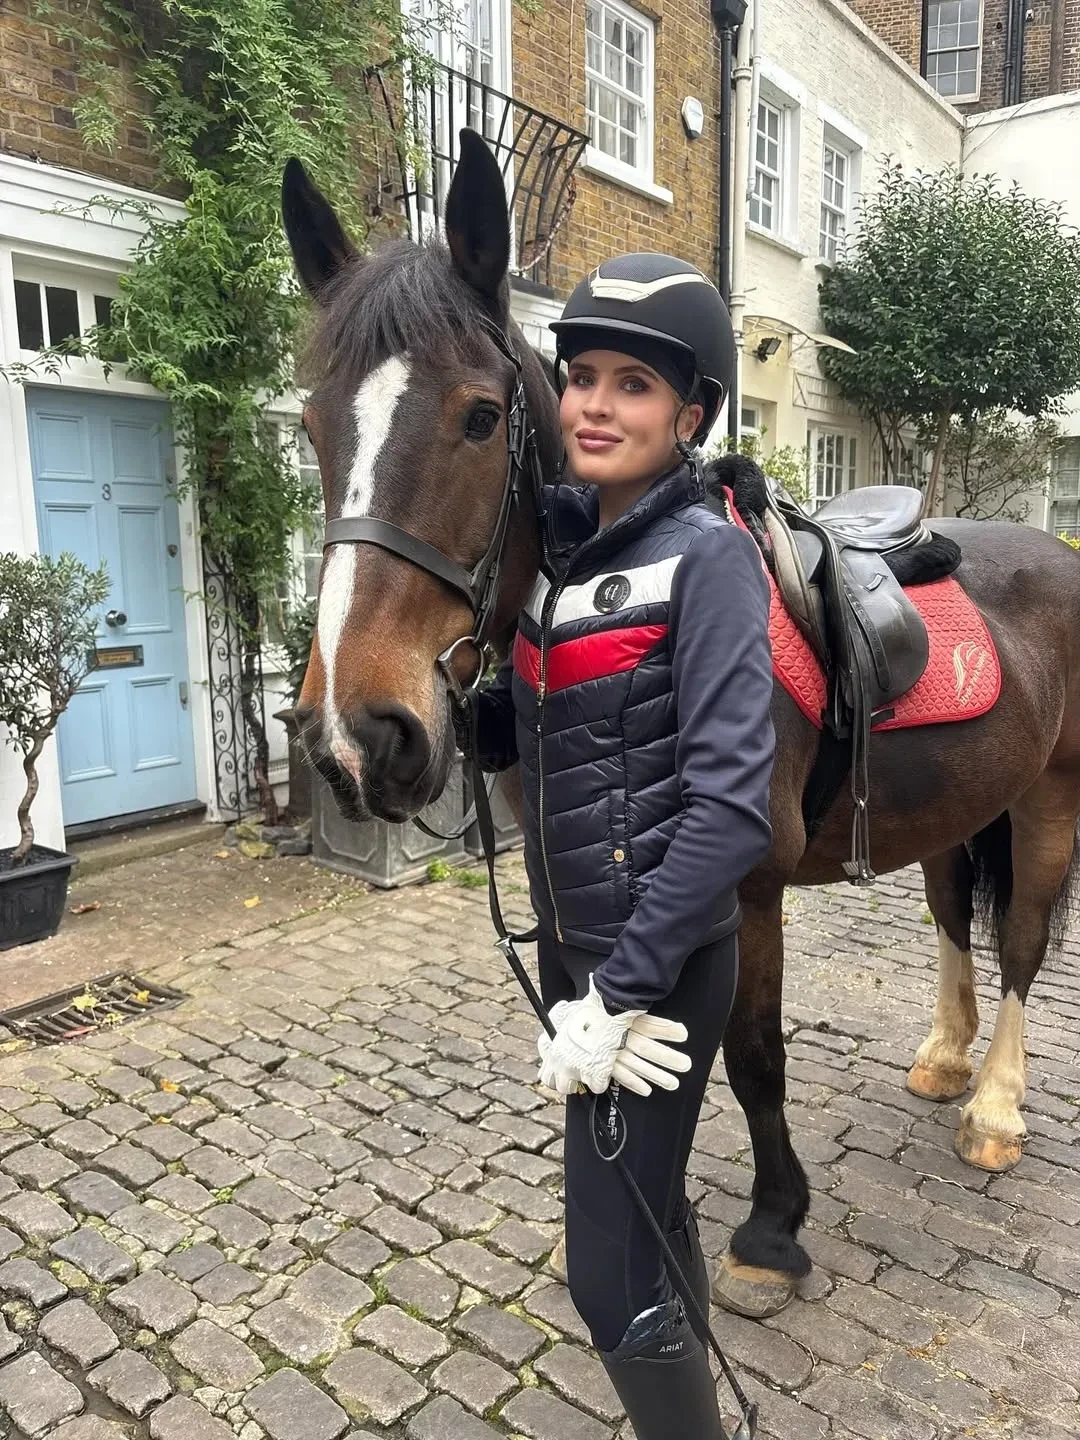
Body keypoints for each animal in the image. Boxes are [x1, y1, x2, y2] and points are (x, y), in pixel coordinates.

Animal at [281, 129, 1080, 1319]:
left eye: (479, 416)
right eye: (311, 423)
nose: (355, 734)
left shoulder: (744, 888)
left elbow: (749, 1056)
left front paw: (771, 1227)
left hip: (1050, 798)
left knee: (1021, 939)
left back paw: (993, 1108)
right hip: (959, 804)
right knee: (951, 918)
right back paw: (946, 1059)